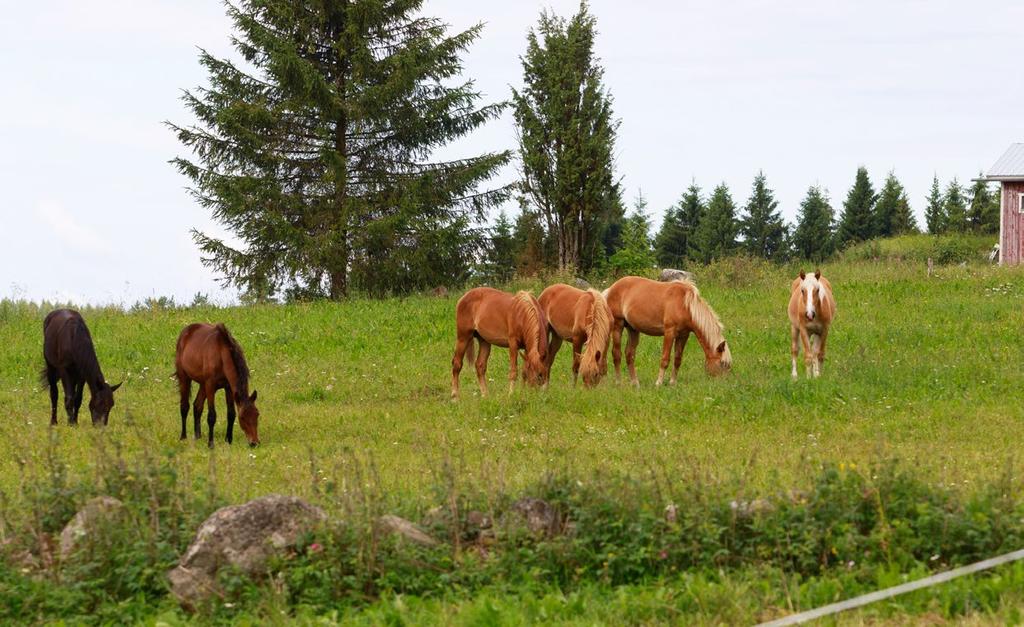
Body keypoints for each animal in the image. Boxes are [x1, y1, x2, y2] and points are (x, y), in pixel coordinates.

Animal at [602, 274, 733, 387]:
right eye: (723, 363)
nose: (723, 384)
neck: (685, 305)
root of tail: (611, 288)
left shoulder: (683, 335)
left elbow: (677, 359)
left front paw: (672, 383)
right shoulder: (669, 332)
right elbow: (665, 359)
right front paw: (658, 383)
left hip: (633, 329)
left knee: (630, 354)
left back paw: (635, 383)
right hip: (618, 326)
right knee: (616, 354)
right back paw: (618, 382)